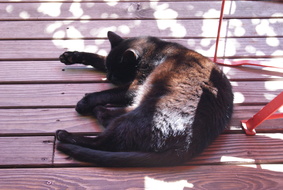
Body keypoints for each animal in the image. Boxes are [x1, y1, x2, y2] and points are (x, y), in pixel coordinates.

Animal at [56, 30, 234, 166]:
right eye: (109, 69)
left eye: (116, 74)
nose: (109, 76)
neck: (155, 50)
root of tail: (189, 144)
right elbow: (99, 58)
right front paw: (71, 56)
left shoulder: (135, 86)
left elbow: (107, 93)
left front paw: (84, 102)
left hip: (143, 110)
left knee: (104, 140)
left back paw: (64, 134)